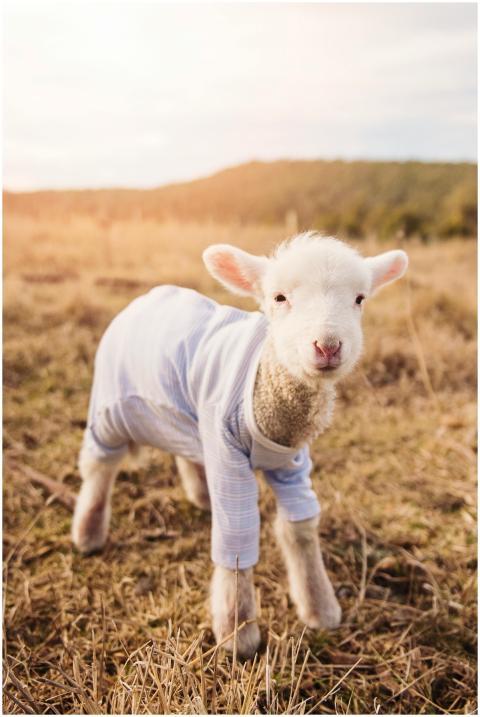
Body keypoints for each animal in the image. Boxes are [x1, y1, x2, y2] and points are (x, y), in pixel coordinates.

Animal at [72, 232, 408, 659]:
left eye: (360, 298)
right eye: (279, 297)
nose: (328, 346)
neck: (270, 388)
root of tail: (145, 298)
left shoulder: (293, 462)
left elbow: (301, 529)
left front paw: (320, 608)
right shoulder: (228, 456)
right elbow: (237, 539)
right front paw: (238, 632)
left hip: (187, 417)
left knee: (183, 448)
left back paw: (199, 495)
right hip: (110, 409)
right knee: (99, 466)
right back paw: (88, 532)